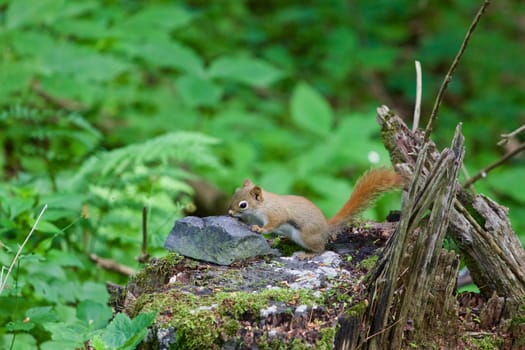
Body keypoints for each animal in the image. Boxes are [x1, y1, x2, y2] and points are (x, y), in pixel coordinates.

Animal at [227, 168, 404, 253]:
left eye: (243, 205)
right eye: (235, 192)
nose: (229, 213)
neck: (263, 205)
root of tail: (325, 228)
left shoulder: (276, 213)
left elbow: (272, 224)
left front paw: (259, 229)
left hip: (306, 236)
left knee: (320, 250)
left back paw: (307, 254)